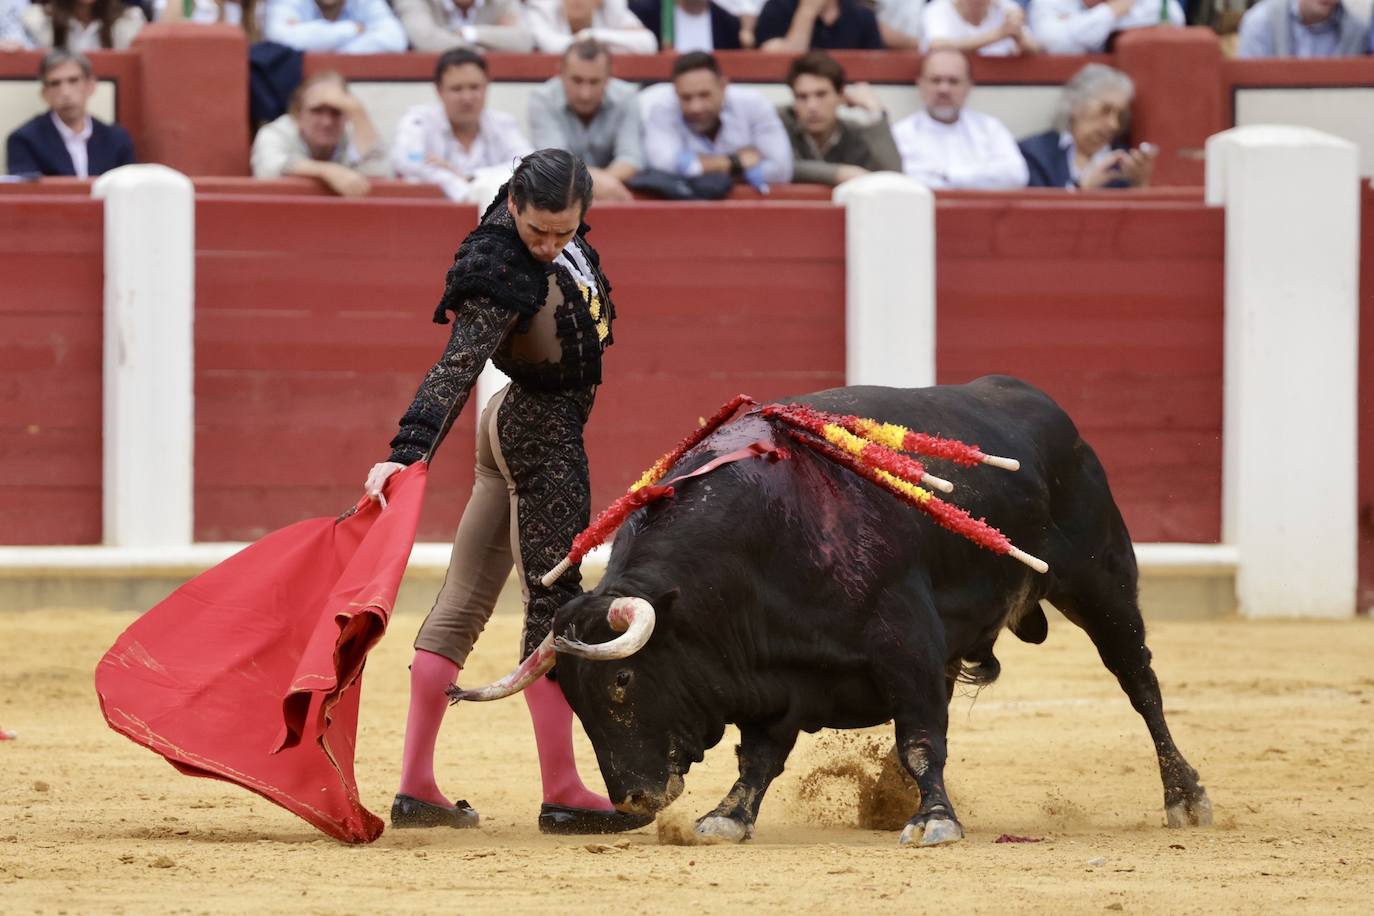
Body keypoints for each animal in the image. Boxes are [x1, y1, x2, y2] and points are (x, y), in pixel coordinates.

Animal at [500, 379, 1209, 845]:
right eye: (572, 698)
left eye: (622, 681)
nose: (632, 801)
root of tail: (1051, 411)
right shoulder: (774, 675)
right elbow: (758, 756)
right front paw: (727, 816)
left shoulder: (909, 647)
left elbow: (920, 739)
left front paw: (933, 822)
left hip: (1102, 584)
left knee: (1141, 684)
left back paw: (1186, 797)